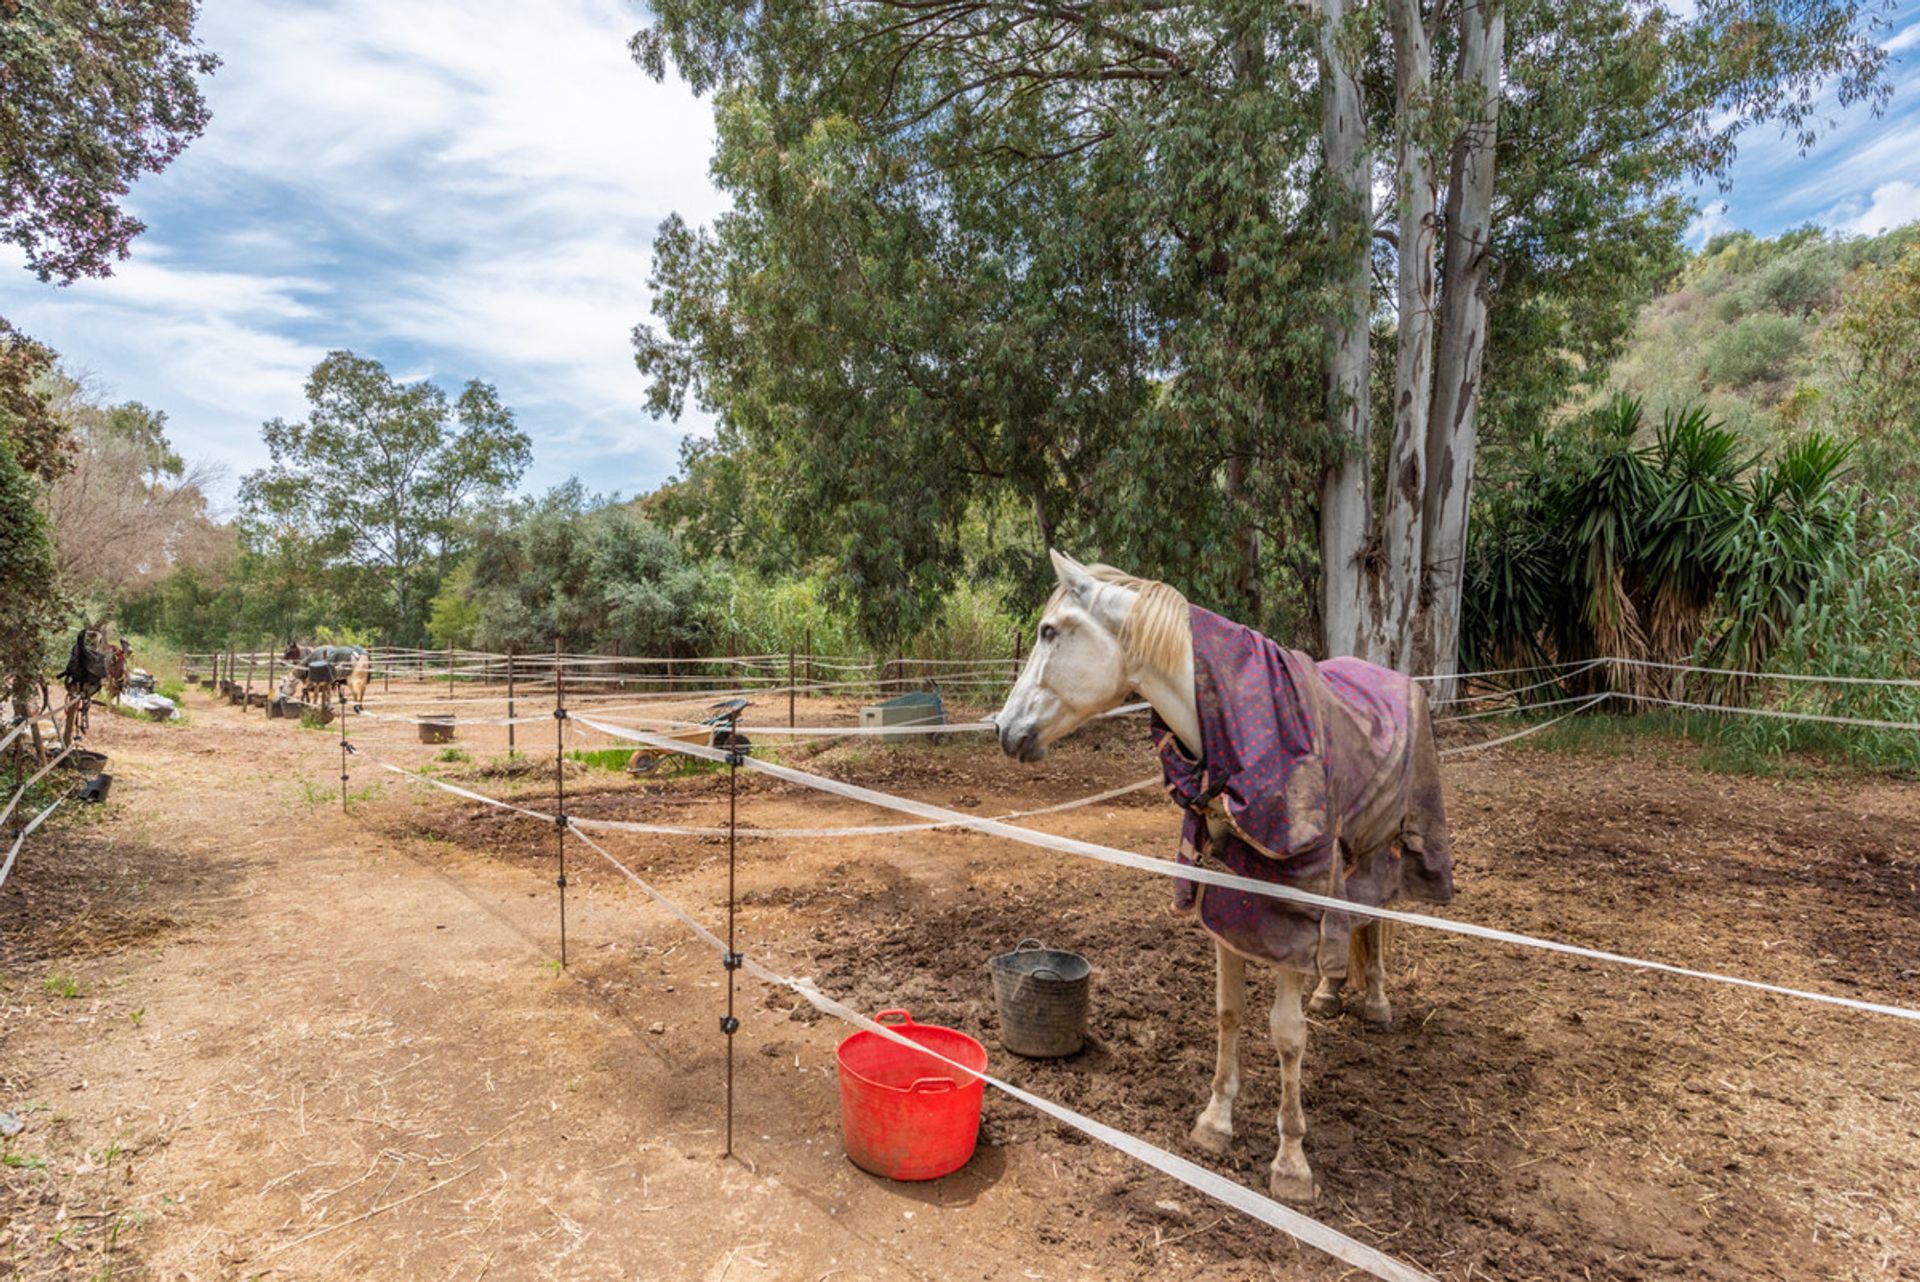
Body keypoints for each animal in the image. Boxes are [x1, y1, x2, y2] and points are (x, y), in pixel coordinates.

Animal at [990, 548, 1451, 1205]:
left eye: (1049, 632)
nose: (1002, 728)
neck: (1235, 752)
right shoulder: (1230, 902)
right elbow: (1229, 1013)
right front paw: (1215, 1123)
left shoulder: (1290, 911)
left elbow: (1287, 1034)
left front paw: (1291, 1162)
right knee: (1352, 925)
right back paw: (1332, 990)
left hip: (1383, 843)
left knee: (1377, 920)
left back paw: (1378, 1002)